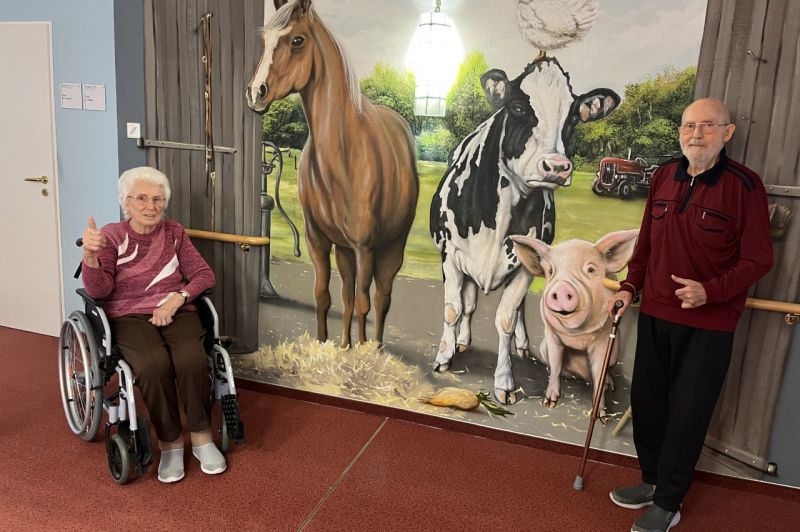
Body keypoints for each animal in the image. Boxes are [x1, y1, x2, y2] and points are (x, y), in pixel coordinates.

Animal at [246, 0, 419, 347]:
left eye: (297, 40)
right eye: (265, 40)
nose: (256, 92)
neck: (343, 154)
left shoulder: (365, 248)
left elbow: (365, 303)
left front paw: (363, 350)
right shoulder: (320, 241)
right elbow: (325, 296)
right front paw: (330, 344)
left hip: (390, 247)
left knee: (381, 298)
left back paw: (375, 346)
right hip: (345, 251)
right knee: (348, 295)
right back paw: (346, 344)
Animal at [429, 56, 620, 405]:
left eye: (573, 116)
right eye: (518, 107)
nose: (556, 167)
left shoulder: (524, 268)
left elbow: (506, 317)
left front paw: (504, 381)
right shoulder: (450, 256)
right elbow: (454, 308)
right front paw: (444, 356)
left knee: (516, 310)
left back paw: (521, 345)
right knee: (470, 304)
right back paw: (462, 341)